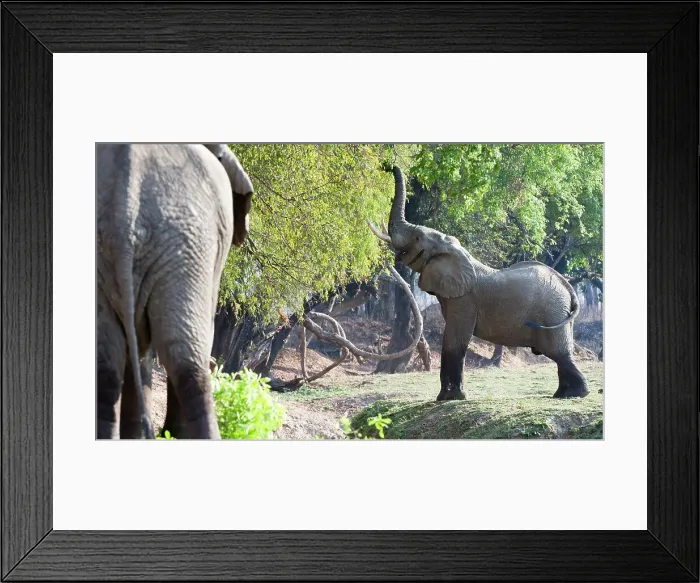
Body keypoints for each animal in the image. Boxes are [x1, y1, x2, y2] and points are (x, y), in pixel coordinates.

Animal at [369, 165, 588, 402]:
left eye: (418, 237)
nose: (386, 165)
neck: (457, 253)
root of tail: (568, 287)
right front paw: (447, 397)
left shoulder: (464, 301)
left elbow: (454, 341)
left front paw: (449, 398)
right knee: (561, 353)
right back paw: (563, 394)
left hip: (552, 311)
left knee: (558, 352)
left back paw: (575, 394)